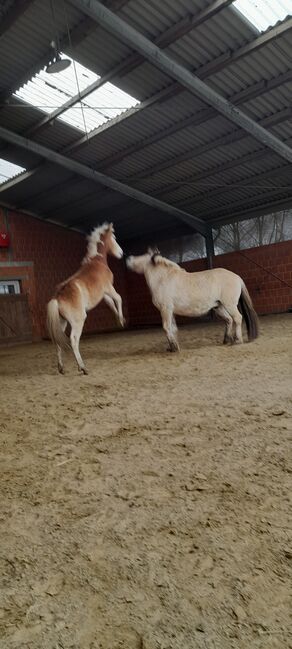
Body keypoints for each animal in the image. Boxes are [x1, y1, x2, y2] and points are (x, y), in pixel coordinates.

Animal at [47, 223, 124, 374]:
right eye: (114, 237)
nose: (121, 253)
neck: (98, 261)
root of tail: (57, 298)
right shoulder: (109, 288)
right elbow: (118, 298)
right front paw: (122, 320)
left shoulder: (104, 294)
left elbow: (111, 304)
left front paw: (119, 320)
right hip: (78, 321)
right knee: (74, 340)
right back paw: (82, 367)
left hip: (62, 322)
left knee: (58, 341)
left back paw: (61, 368)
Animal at [126, 249, 258, 352]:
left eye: (144, 256)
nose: (128, 258)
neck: (163, 279)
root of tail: (237, 277)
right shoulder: (170, 311)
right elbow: (173, 328)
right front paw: (173, 347)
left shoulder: (165, 309)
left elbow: (166, 327)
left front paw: (174, 348)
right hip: (218, 307)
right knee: (229, 320)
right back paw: (227, 340)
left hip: (229, 305)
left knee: (237, 318)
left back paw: (238, 340)